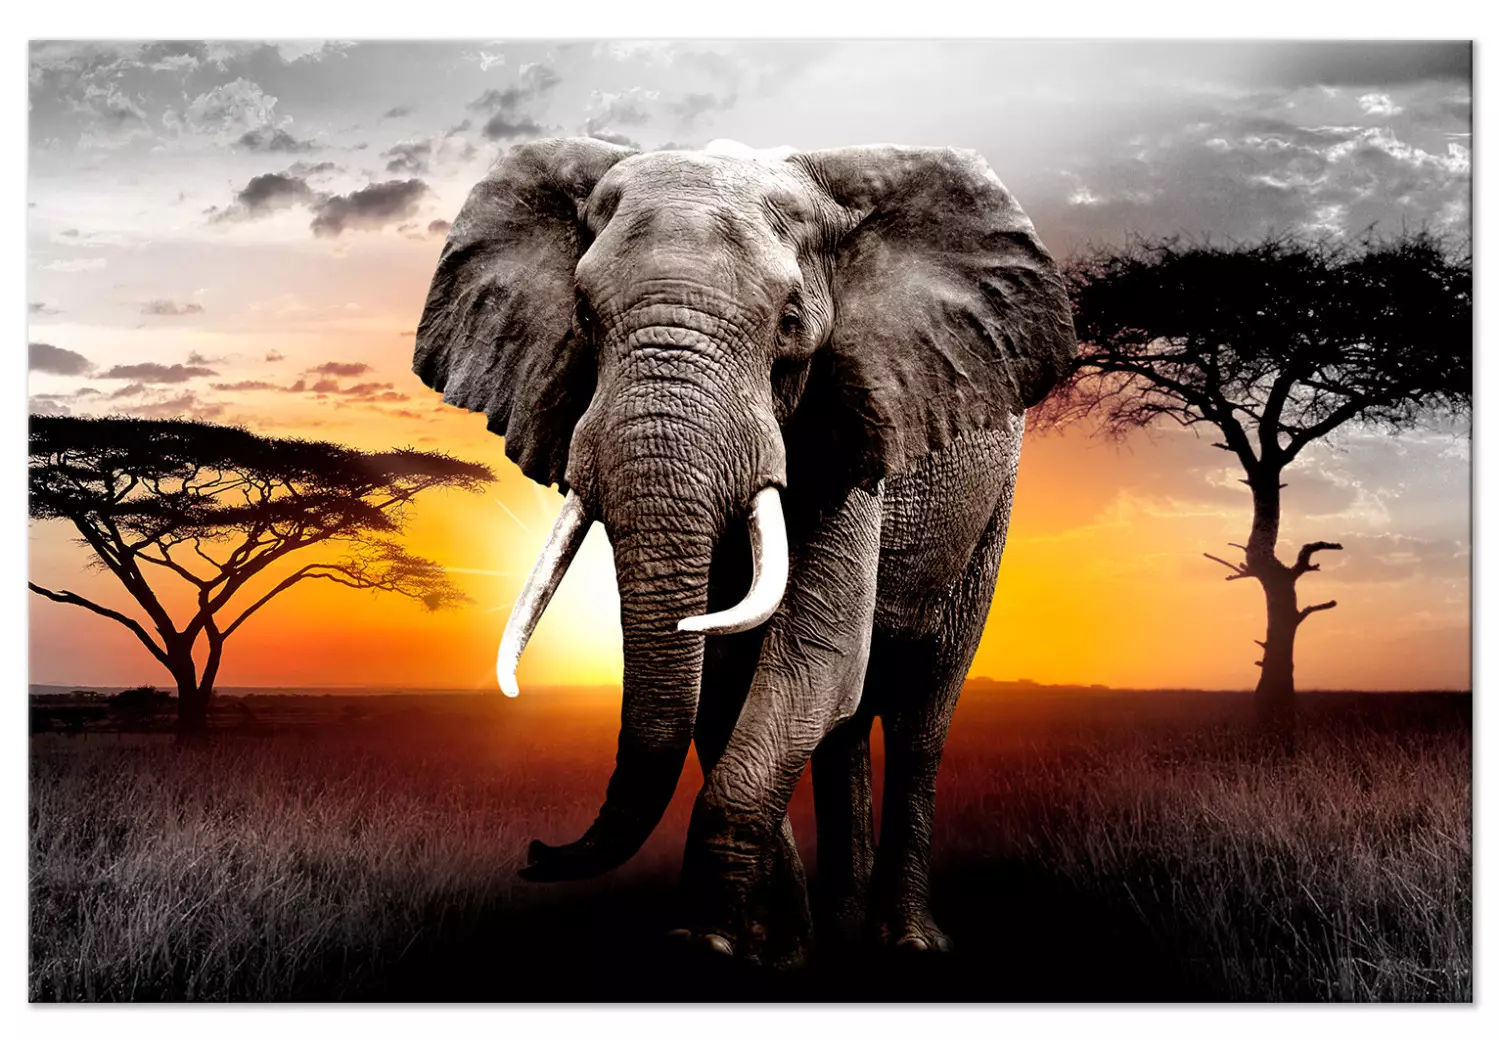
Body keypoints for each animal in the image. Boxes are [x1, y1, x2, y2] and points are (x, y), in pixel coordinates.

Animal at [412, 137, 1076, 968]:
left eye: (790, 322)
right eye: (584, 316)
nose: (536, 852)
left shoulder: (846, 434)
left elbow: (813, 660)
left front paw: (704, 943)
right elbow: (727, 683)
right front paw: (768, 949)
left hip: (990, 510)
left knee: (921, 711)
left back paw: (908, 942)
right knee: (845, 726)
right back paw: (841, 925)